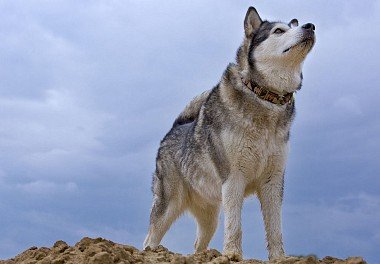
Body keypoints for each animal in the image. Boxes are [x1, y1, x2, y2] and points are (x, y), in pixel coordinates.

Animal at [142, 6, 314, 262]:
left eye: (295, 25)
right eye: (278, 31)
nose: (310, 26)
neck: (263, 97)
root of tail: (173, 129)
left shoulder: (273, 182)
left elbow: (275, 228)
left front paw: (279, 258)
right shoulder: (233, 178)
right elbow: (235, 225)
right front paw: (233, 254)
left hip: (209, 216)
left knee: (198, 243)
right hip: (169, 204)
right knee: (150, 238)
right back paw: (152, 252)